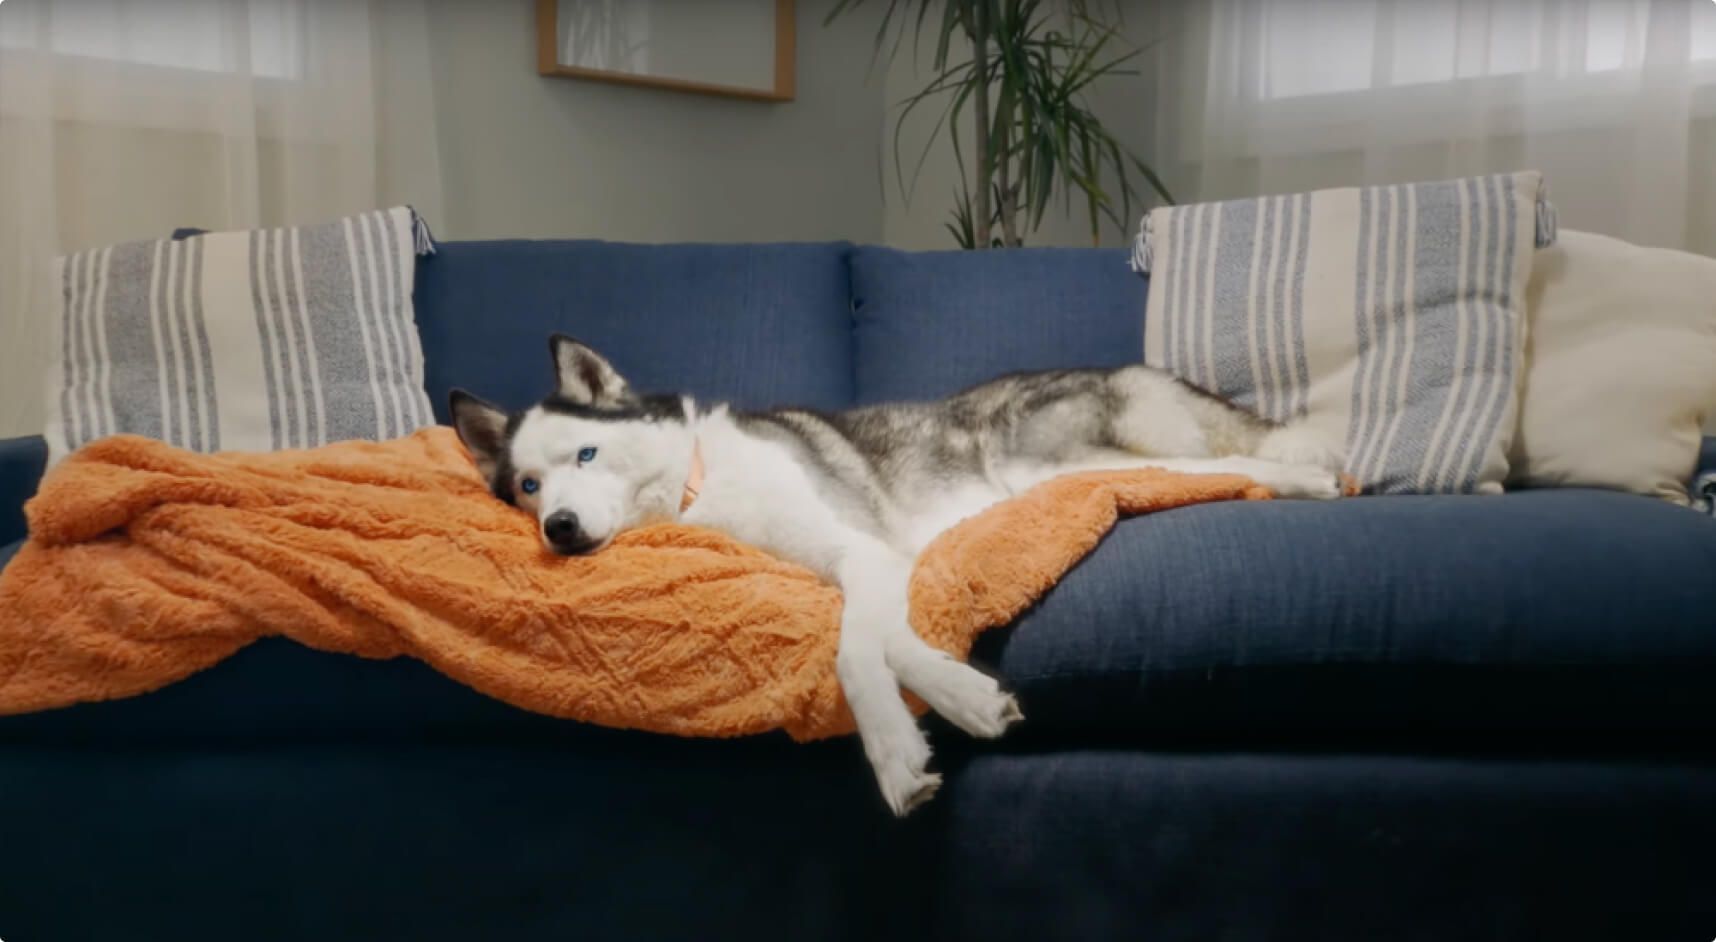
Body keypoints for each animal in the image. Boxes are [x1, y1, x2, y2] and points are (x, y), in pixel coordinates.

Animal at [453, 334, 1338, 813]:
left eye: (585, 455)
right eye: (526, 486)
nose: (560, 531)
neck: (700, 489)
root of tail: (1135, 369)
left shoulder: (863, 552)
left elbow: (855, 653)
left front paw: (896, 744)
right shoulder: (854, 571)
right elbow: (881, 640)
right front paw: (958, 698)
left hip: (1050, 463)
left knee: (1216, 466)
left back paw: (1309, 478)